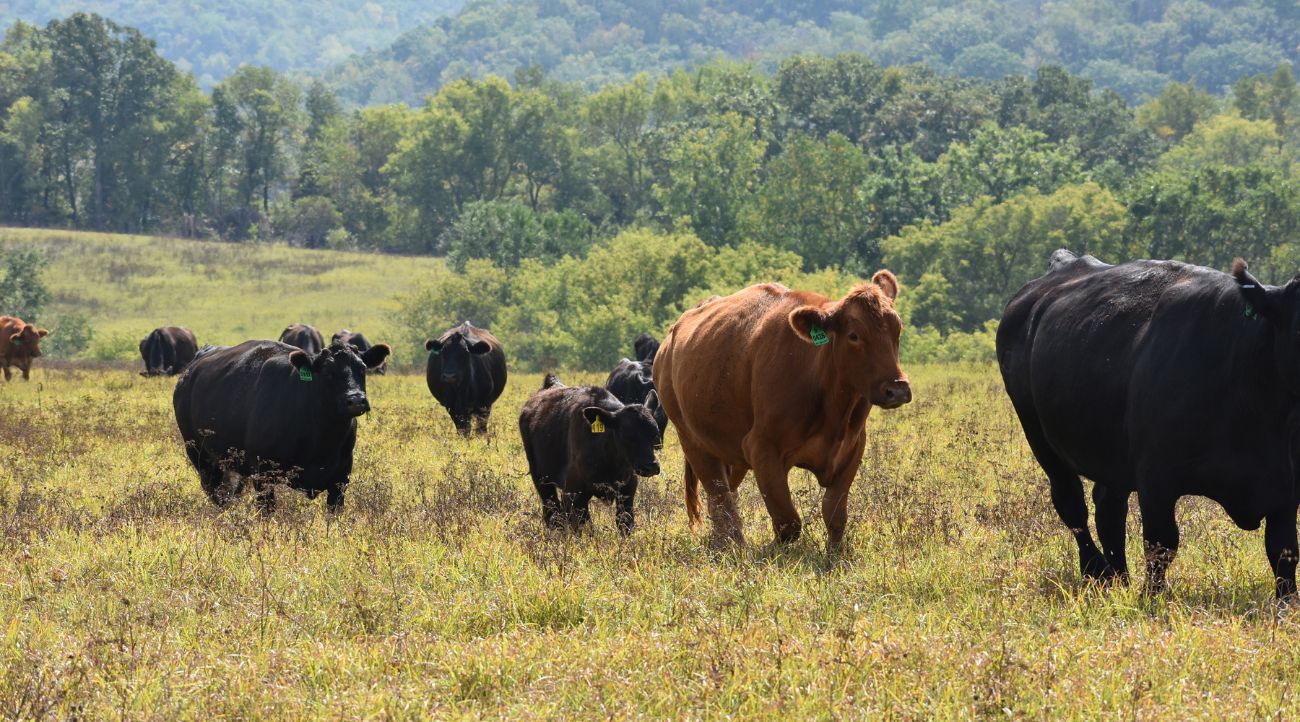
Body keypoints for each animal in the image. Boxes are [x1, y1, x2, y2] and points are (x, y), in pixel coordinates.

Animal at [171, 340, 390, 515]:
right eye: (328, 372)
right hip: (200, 457)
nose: (356, 400)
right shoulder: (263, 474)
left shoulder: (342, 477)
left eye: (362, 368)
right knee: (217, 495)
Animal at [517, 374, 660, 533]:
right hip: (541, 478)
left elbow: (624, 523)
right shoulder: (574, 494)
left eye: (655, 433)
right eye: (627, 435)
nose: (651, 467)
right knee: (552, 513)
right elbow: (583, 527)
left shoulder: (627, 491)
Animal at [655, 274, 909, 551]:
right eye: (854, 335)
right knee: (720, 499)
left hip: (730, 452)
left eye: (898, 330)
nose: (897, 389)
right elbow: (788, 521)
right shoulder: (762, 449)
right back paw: (734, 547)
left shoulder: (852, 448)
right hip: (693, 442)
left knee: (725, 497)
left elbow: (835, 515)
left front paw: (833, 554)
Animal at [998, 251, 1300, 601]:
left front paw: (1287, 603)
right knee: (1072, 506)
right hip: (1039, 437)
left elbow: (1283, 552)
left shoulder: (1285, 487)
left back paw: (1119, 576)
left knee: (1108, 509)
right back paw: (1097, 571)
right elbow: (1161, 545)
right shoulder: (1156, 479)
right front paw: (1151, 599)